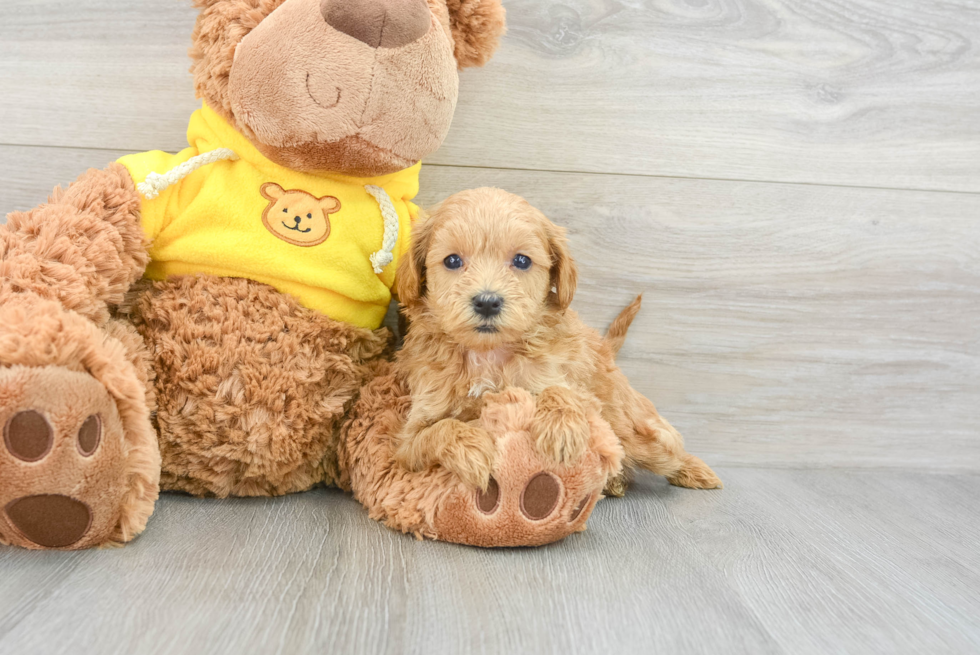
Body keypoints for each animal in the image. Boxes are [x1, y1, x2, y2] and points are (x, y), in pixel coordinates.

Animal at [390, 187, 720, 494]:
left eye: (522, 260)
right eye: (452, 260)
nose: (487, 302)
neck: (488, 354)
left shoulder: (571, 384)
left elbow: (559, 390)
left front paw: (561, 429)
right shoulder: (410, 438)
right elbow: (438, 431)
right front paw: (472, 449)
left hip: (633, 428)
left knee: (664, 447)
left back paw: (695, 471)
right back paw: (615, 482)